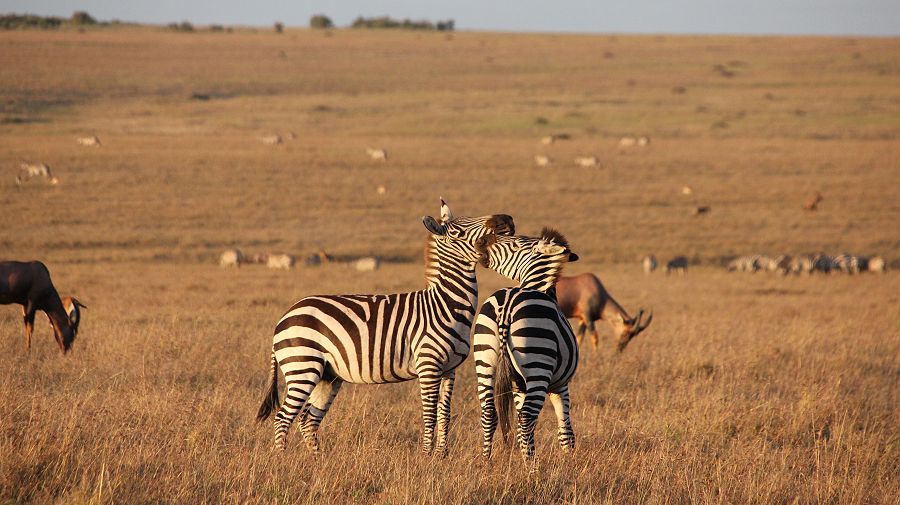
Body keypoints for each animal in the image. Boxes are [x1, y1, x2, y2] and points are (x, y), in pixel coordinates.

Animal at [256, 200, 516, 452]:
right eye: (458, 232)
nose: (506, 218)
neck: (445, 304)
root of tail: (285, 316)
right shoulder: (428, 365)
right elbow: (430, 416)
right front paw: (426, 457)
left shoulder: (449, 370)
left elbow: (444, 416)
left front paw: (441, 457)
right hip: (303, 366)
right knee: (283, 418)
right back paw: (282, 460)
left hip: (327, 375)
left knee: (307, 419)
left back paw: (316, 461)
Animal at [474, 227, 580, 460]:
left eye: (515, 243)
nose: (481, 240)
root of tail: (506, 306)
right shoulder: (560, 385)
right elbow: (565, 427)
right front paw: (569, 457)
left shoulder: (518, 387)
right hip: (538, 364)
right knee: (527, 418)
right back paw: (531, 465)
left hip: (484, 357)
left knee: (489, 413)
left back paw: (487, 461)